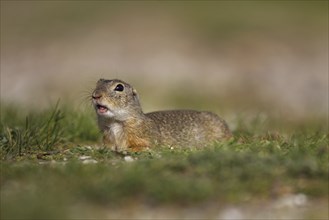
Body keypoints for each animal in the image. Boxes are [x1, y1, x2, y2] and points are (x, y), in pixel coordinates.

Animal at [91, 78, 232, 152]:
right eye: (98, 83)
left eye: (119, 87)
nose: (95, 95)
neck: (115, 122)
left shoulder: (143, 136)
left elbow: (141, 146)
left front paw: (124, 150)